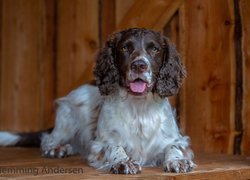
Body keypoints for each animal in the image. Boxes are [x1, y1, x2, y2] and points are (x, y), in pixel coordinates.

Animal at [0, 28, 194, 174]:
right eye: (125, 48)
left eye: (154, 49)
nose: (139, 65)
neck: (139, 108)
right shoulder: (101, 144)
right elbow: (115, 147)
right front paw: (123, 162)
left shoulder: (176, 139)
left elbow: (174, 146)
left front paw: (178, 161)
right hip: (67, 117)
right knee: (48, 139)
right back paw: (57, 148)